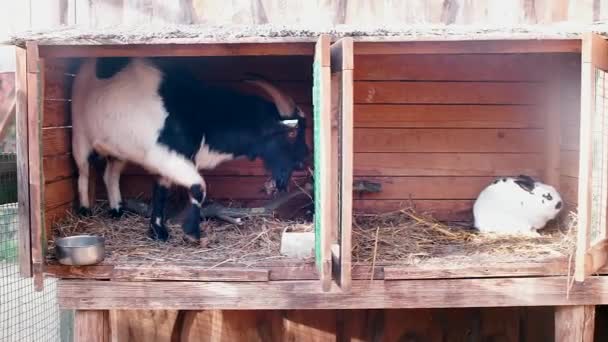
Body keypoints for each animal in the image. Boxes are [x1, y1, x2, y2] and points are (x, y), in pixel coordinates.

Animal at [71, 57, 308, 242]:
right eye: (292, 133)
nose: (302, 161)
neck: (198, 113)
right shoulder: (168, 157)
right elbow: (198, 187)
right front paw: (192, 233)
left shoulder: (172, 162)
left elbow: (161, 193)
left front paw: (158, 232)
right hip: (80, 138)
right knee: (83, 172)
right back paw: (84, 210)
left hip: (119, 152)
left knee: (110, 175)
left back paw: (117, 210)